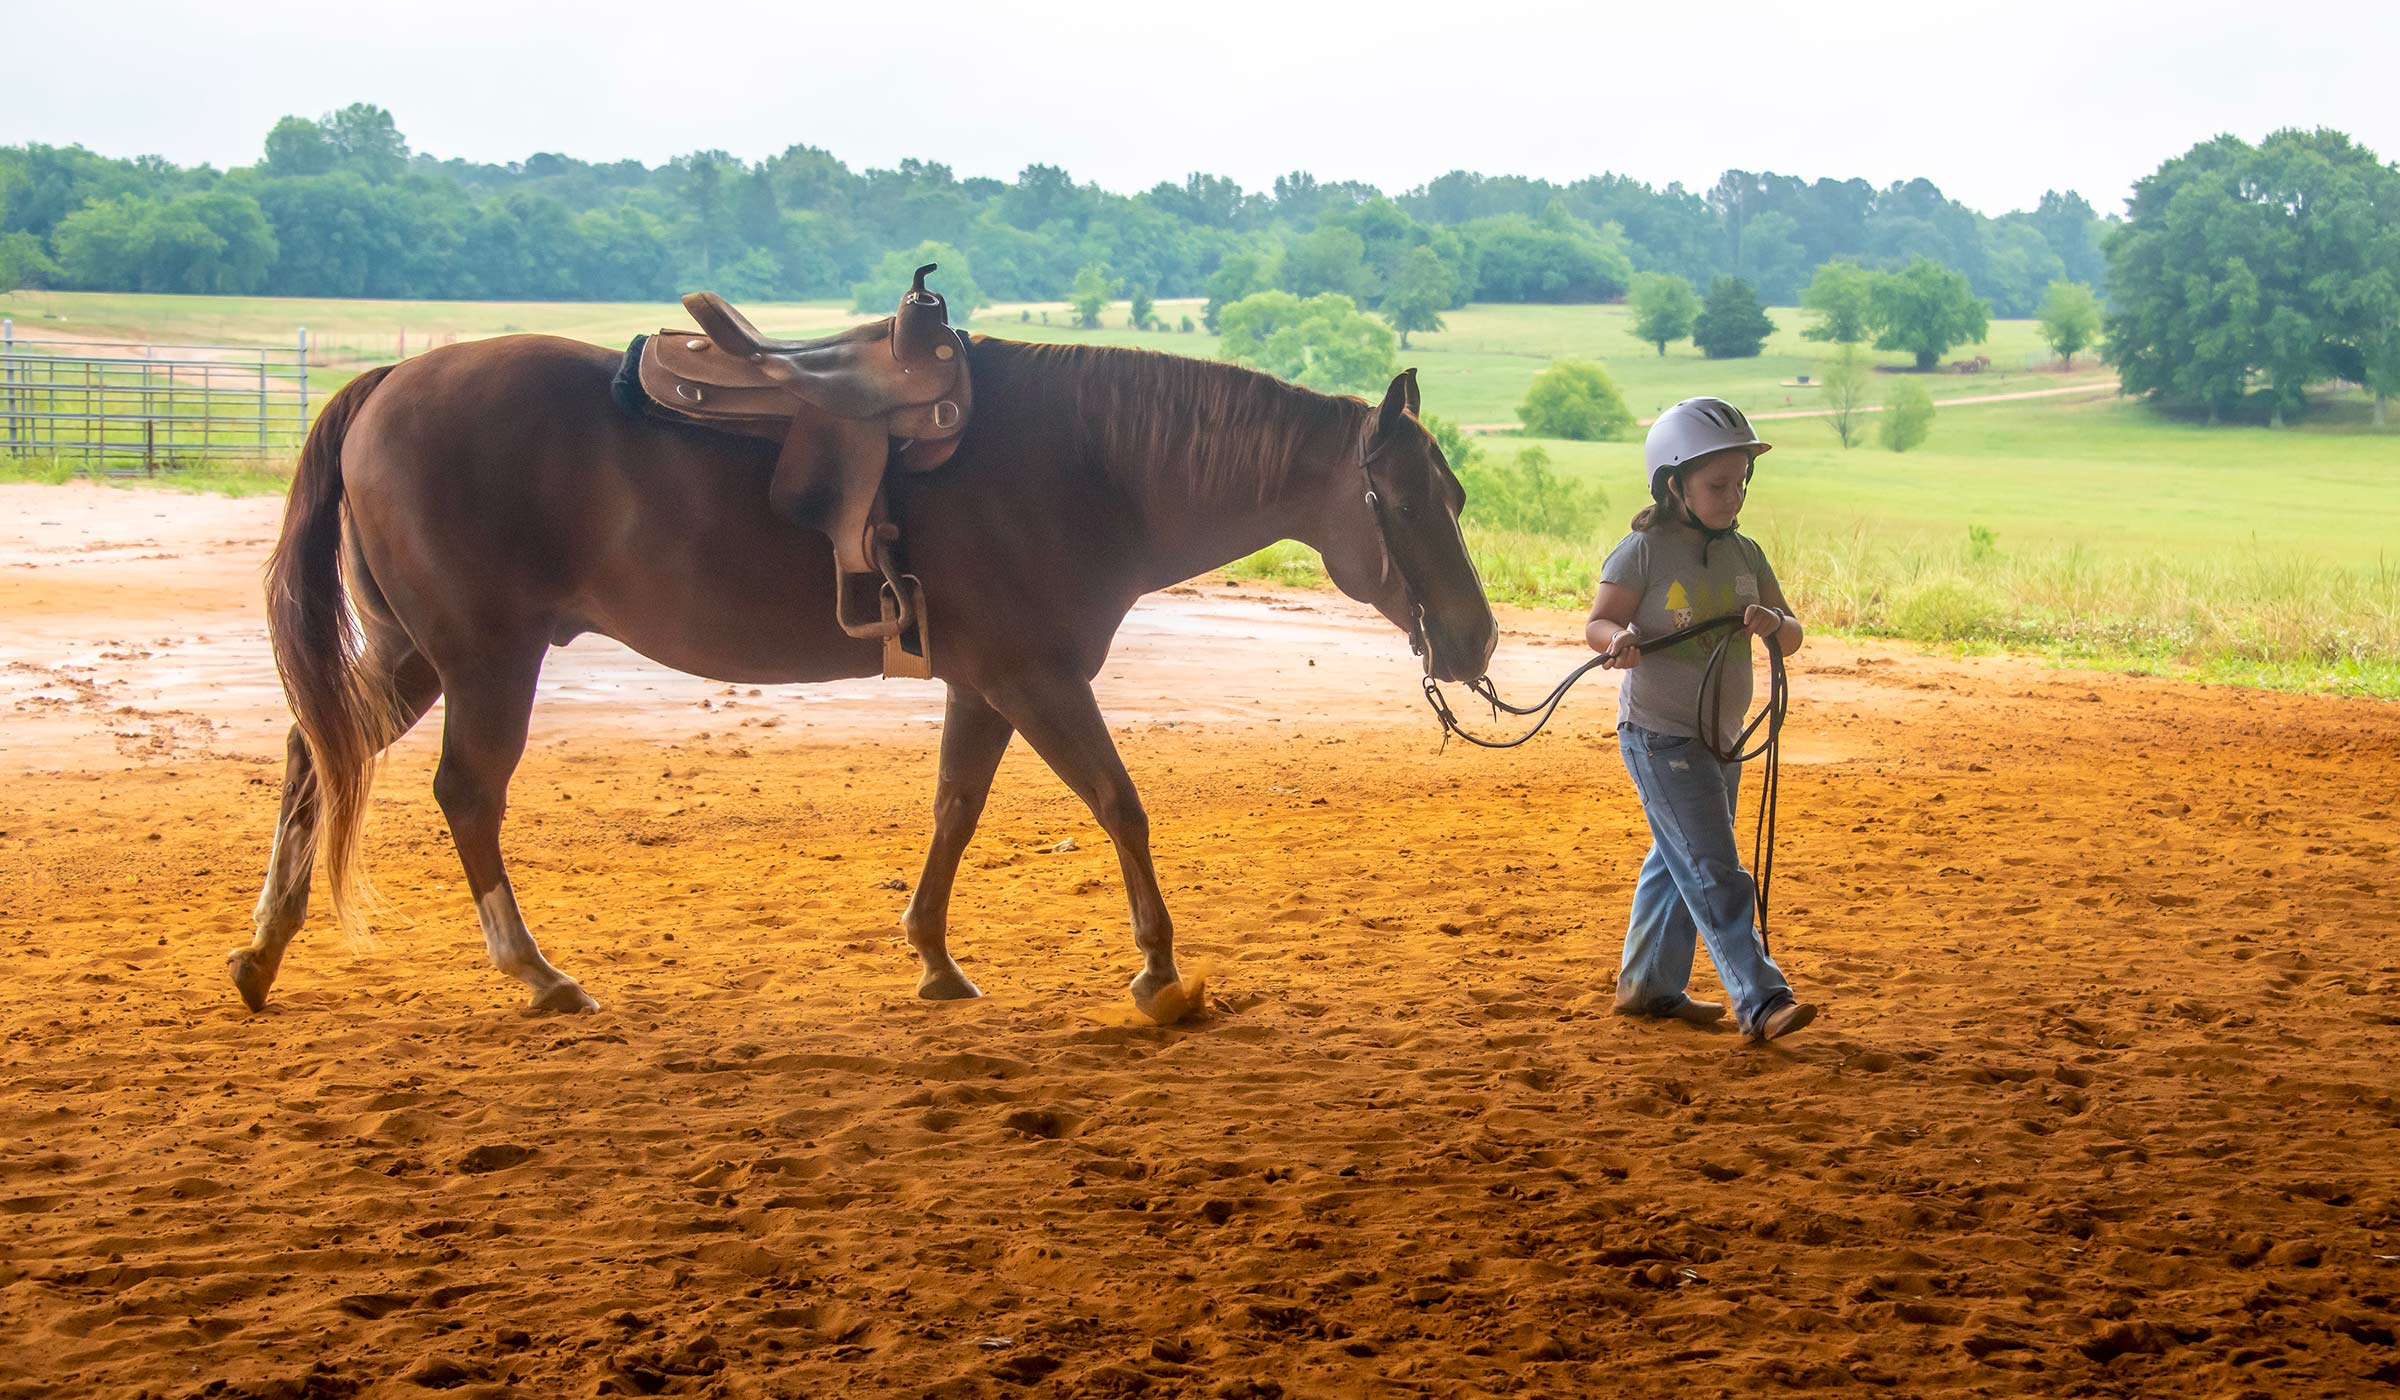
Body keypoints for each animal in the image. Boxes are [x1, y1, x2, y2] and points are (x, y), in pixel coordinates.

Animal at [234, 336, 1488, 1022]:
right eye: (1405, 499)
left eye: (1459, 495)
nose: (1473, 640)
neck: (1085, 465)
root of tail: (390, 382)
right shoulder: (1037, 677)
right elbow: (1119, 802)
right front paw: (1162, 970)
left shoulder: (986, 685)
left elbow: (955, 807)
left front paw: (933, 955)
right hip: (487, 657)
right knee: (465, 794)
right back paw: (535, 971)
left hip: (416, 654)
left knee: (318, 751)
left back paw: (263, 948)